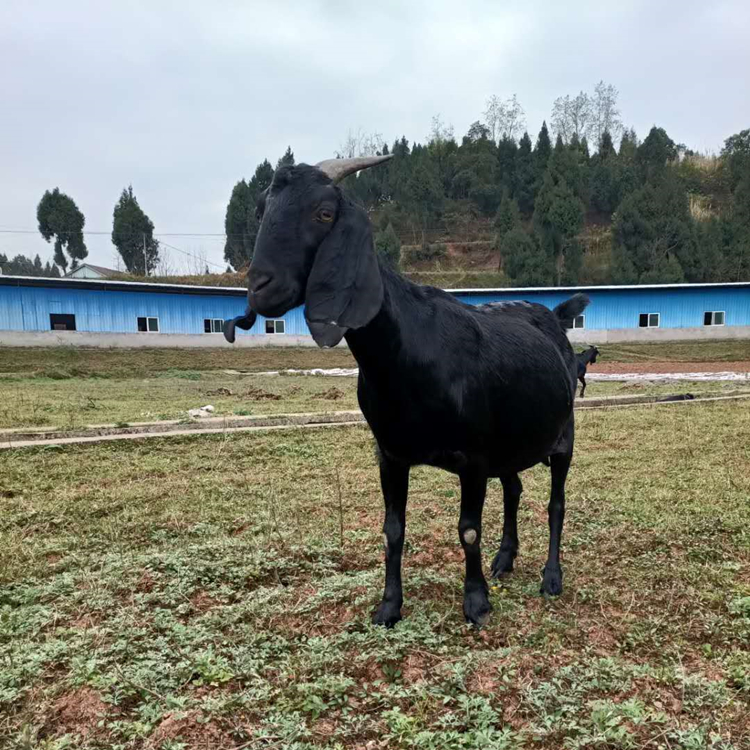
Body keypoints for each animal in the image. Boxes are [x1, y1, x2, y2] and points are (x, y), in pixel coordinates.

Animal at [226, 159, 592, 628]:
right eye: (260, 210)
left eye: (324, 213)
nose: (260, 287)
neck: (409, 353)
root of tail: (558, 317)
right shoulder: (391, 454)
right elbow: (392, 530)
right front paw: (388, 606)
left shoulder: (474, 458)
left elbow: (468, 528)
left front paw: (476, 603)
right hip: (508, 443)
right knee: (514, 489)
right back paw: (504, 559)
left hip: (563, 436)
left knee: (555, 504)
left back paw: (550, 578)